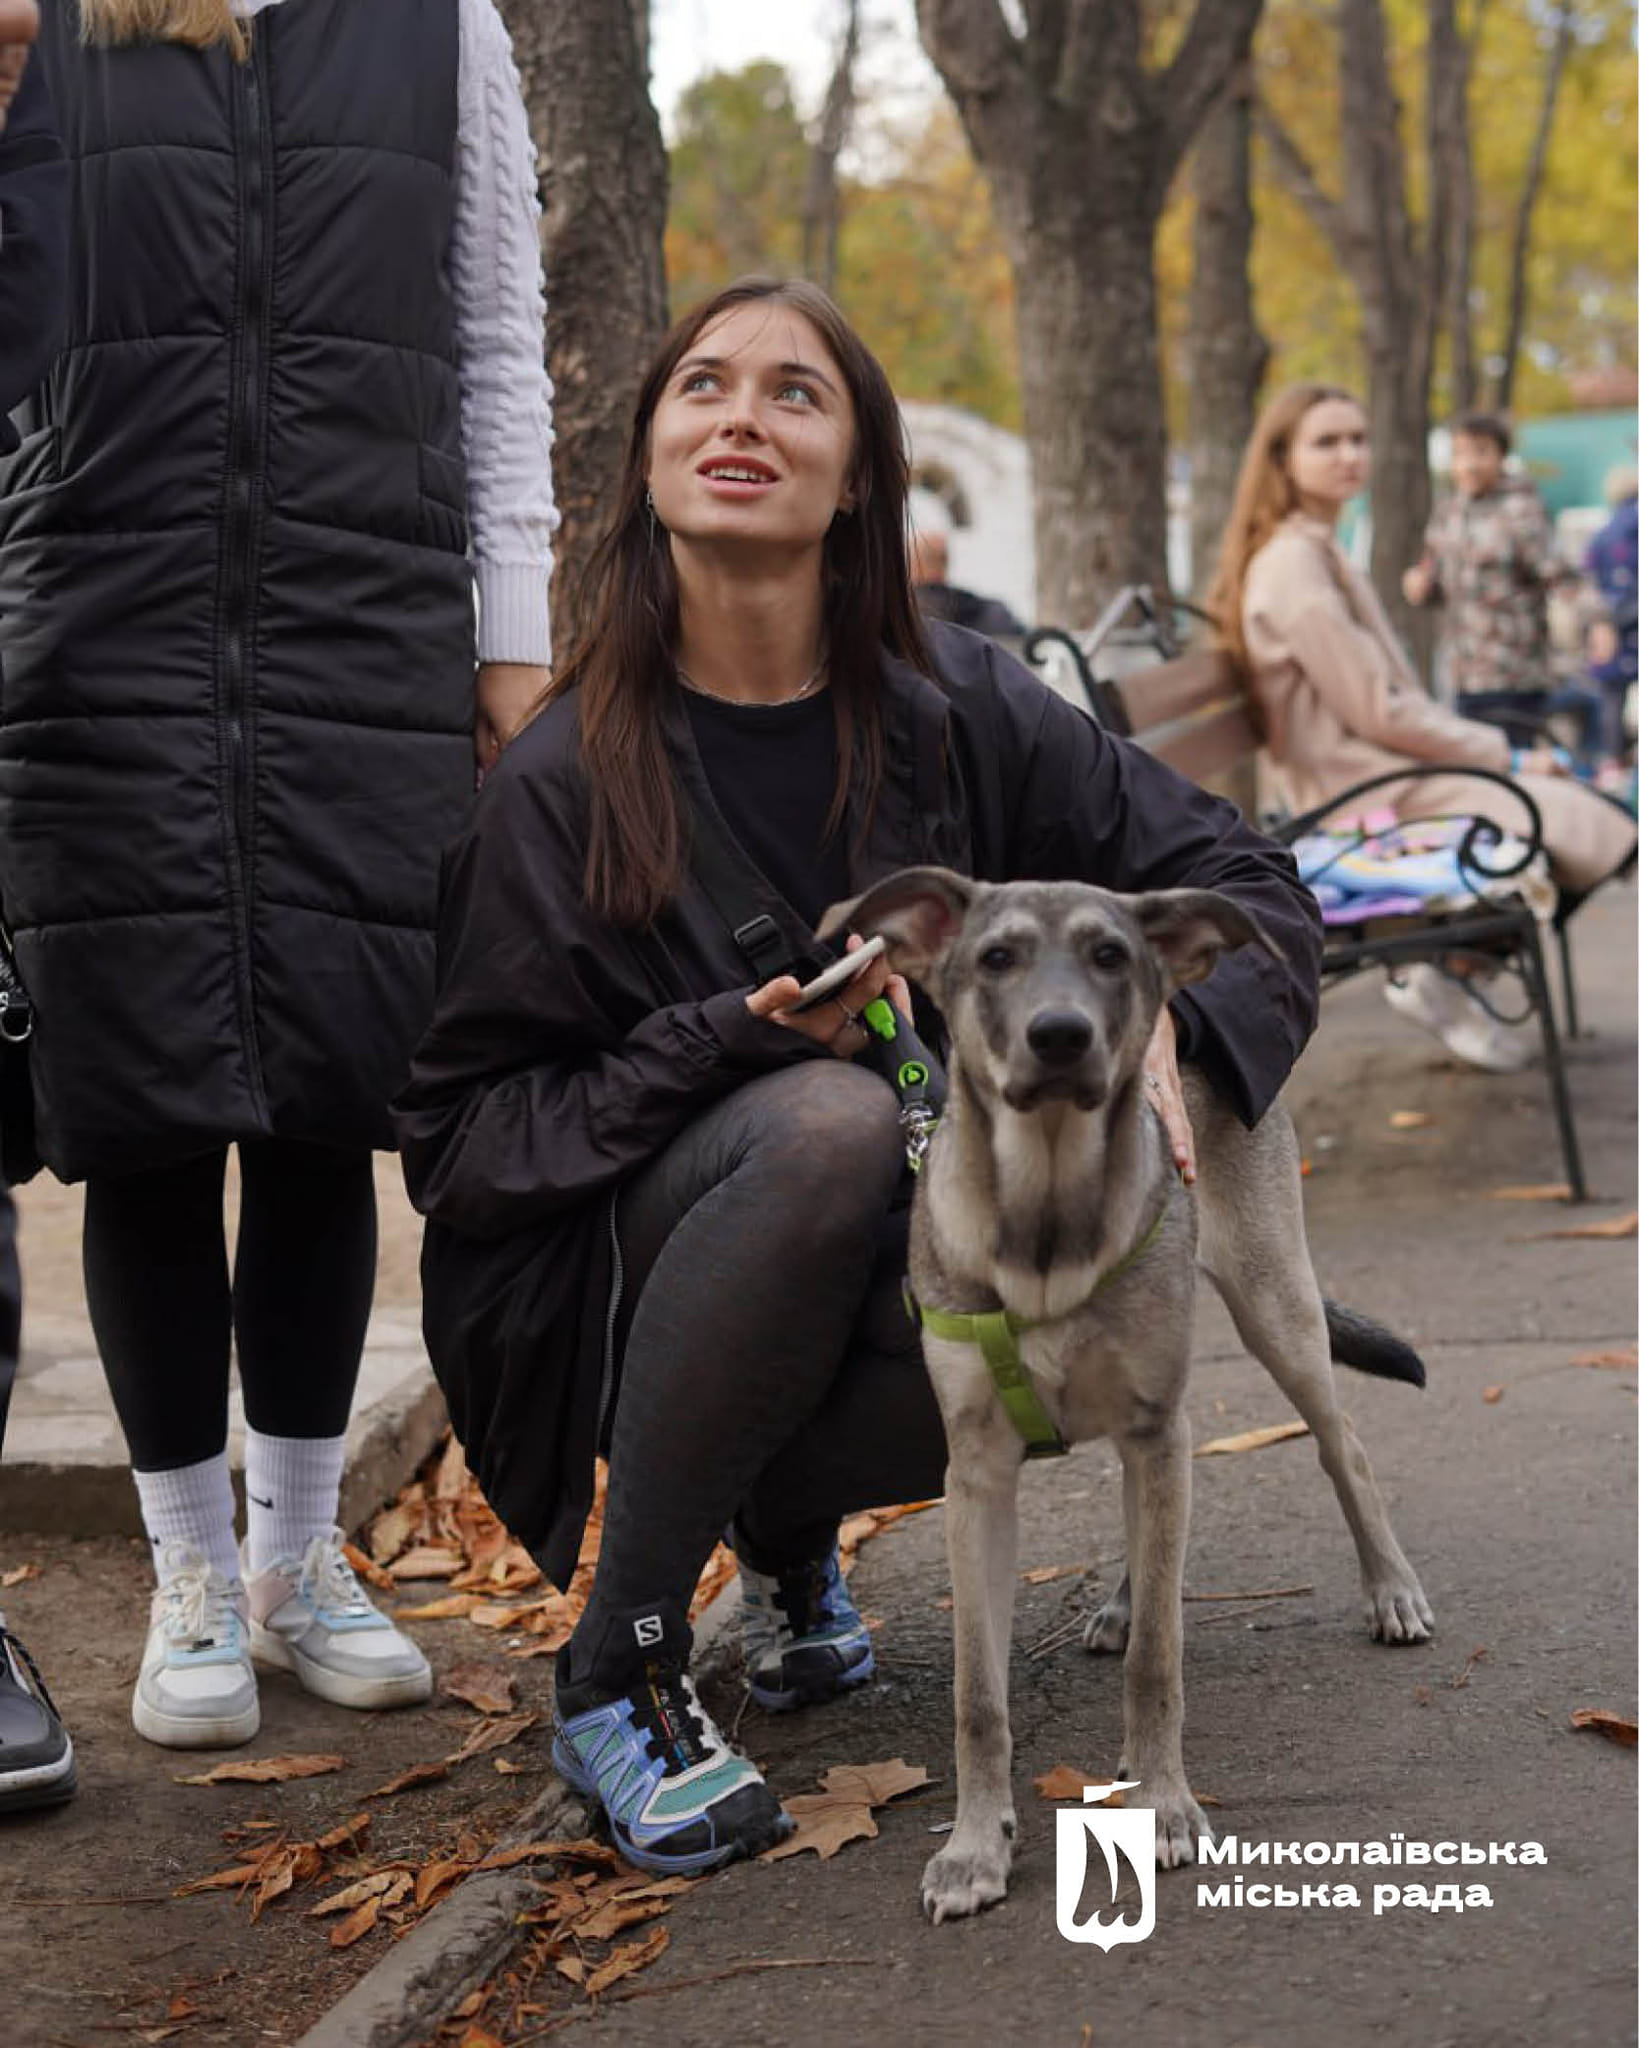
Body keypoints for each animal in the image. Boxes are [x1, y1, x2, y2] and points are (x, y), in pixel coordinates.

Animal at [819, 864, 1434, 1916]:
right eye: (996, 957)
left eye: (1110, 955)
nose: (1061, 1036)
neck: (1045, 1214)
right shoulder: (976, 1478)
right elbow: (976, 1697)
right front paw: (975, 1847)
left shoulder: (1156, 1426)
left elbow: (1159, 1661)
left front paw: (1161, 1805)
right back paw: (1122, 1598)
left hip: (1274, 1312)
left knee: (1339, 1443)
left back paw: (1388, 1589)